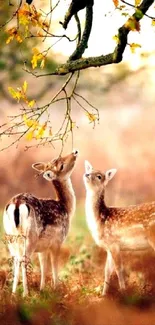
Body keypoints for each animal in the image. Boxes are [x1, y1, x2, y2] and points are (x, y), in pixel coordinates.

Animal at [3, 149, 78, 296]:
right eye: (61, 165)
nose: (75, 152)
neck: (66, 207)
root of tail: (16, 204)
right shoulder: (57, 241)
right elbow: (54, 265)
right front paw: (56, 289)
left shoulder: (42, 247)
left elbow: (43, 266)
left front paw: (42, 289)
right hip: (30, 236)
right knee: (23, 259)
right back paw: (25, 293)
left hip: (10, 236)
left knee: (15, 259)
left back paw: (14, 293)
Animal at [83, 161, 155, 294]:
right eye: (89, 170)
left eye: (99, 176)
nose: (87, 174)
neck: (101, 220)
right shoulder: (108, 247)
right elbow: (107, 270)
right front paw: (103, 294)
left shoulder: (114, 243)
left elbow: (119, 268)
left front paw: (123, 291)